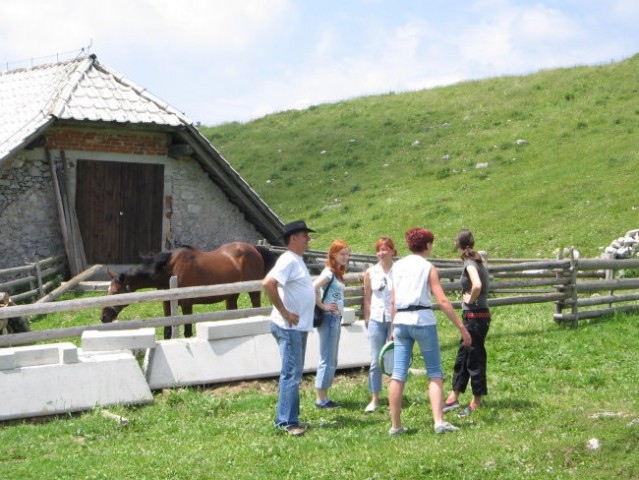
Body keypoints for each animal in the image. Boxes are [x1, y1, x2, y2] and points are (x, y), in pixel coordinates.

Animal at [100, 242, 276, 340]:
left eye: (115, 293)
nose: (103, 317)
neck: (168, 270)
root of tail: (254, 249)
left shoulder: (186, 304)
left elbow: (187, 332)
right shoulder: (167, 304)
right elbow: (167, 332)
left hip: (253, 292)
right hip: (231, 296)